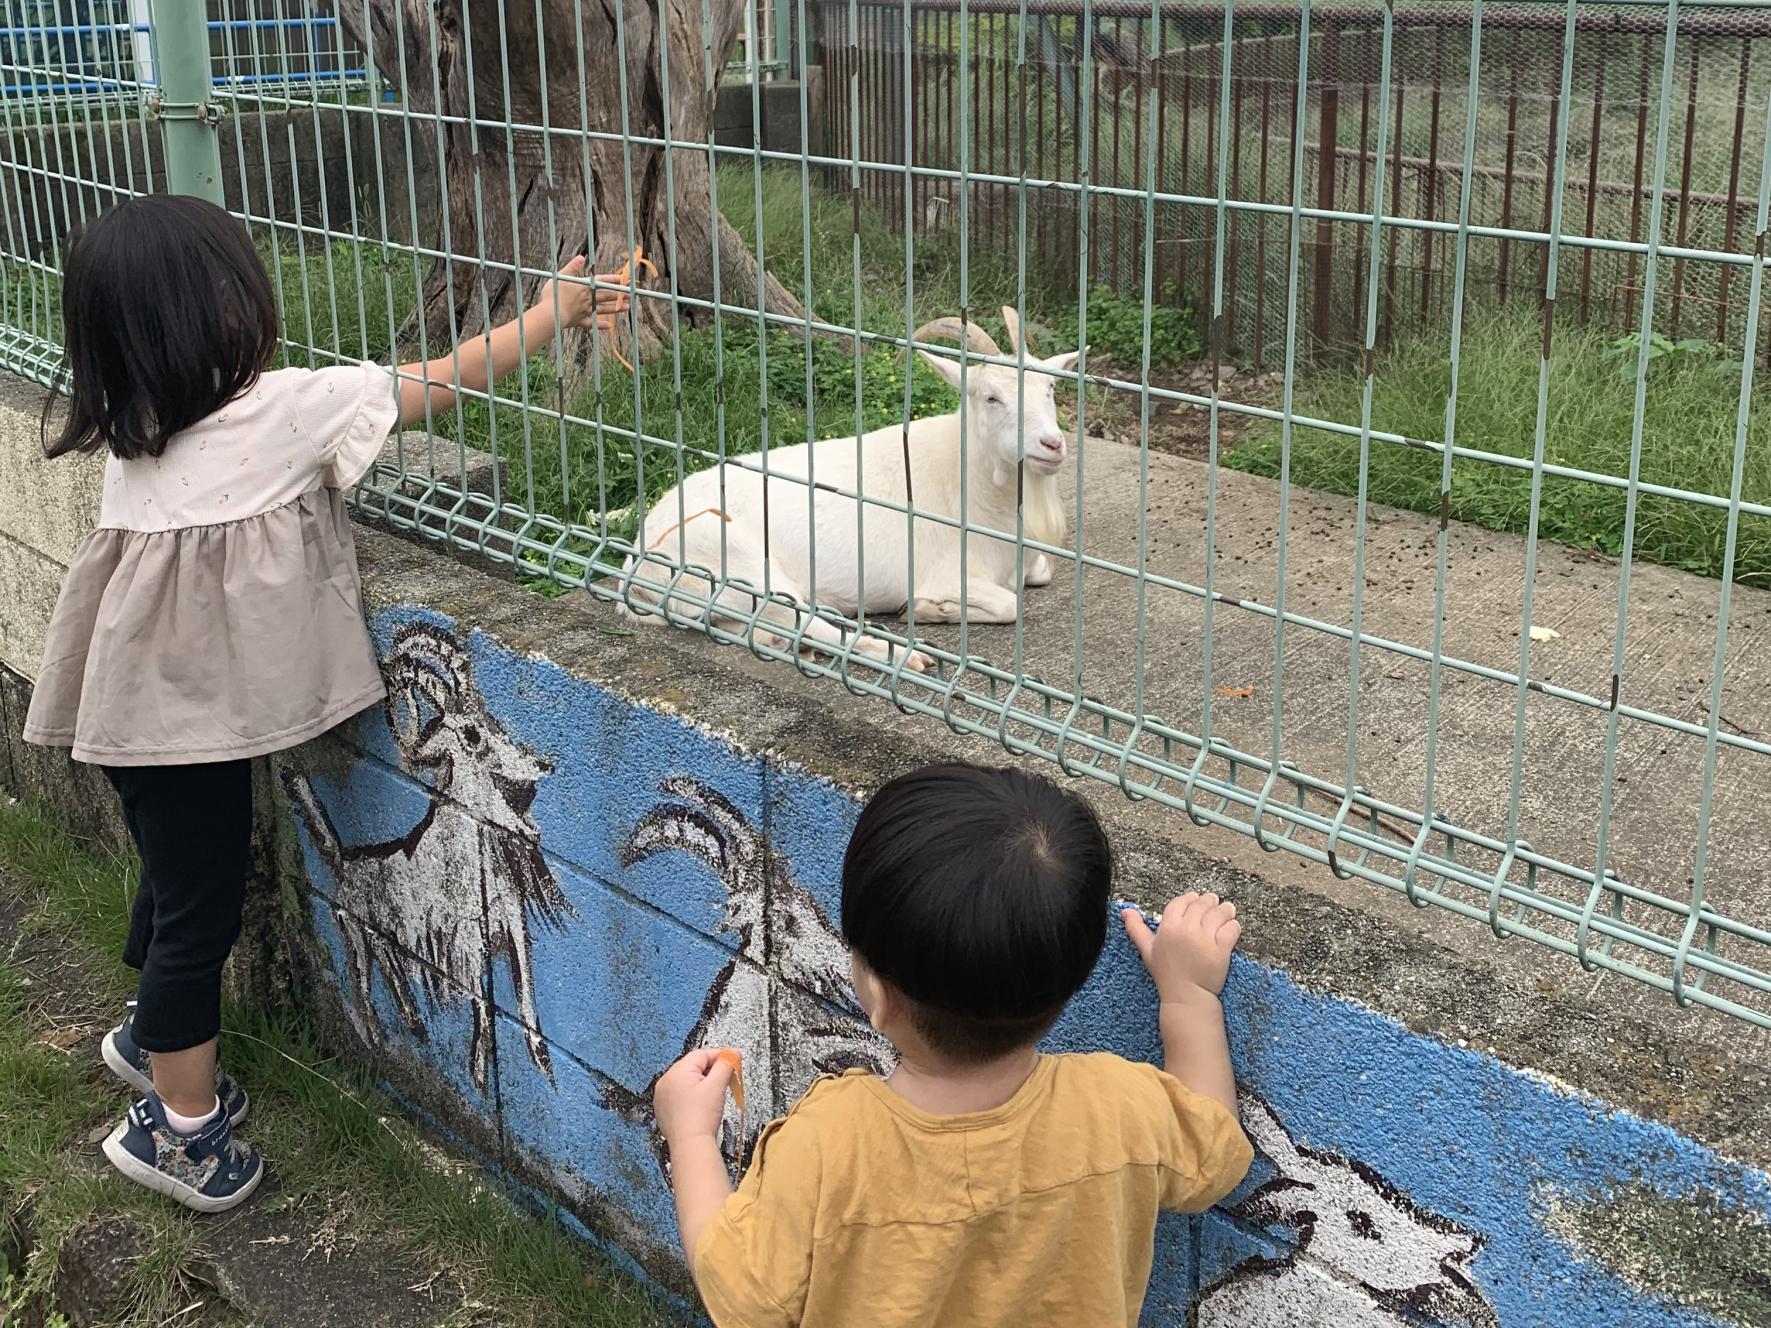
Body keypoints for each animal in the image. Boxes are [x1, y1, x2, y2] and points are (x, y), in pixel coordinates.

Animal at [623, 309, 1076, 665]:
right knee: (806, 619)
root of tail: (638, 560)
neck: (969, 481)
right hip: (738, 563)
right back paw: (902, 655)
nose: (1052, 444)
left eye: (1050, 388)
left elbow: (1039, 575)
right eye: (990, 397)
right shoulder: (944, 572)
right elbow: (1009, 603)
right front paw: (928, 608)